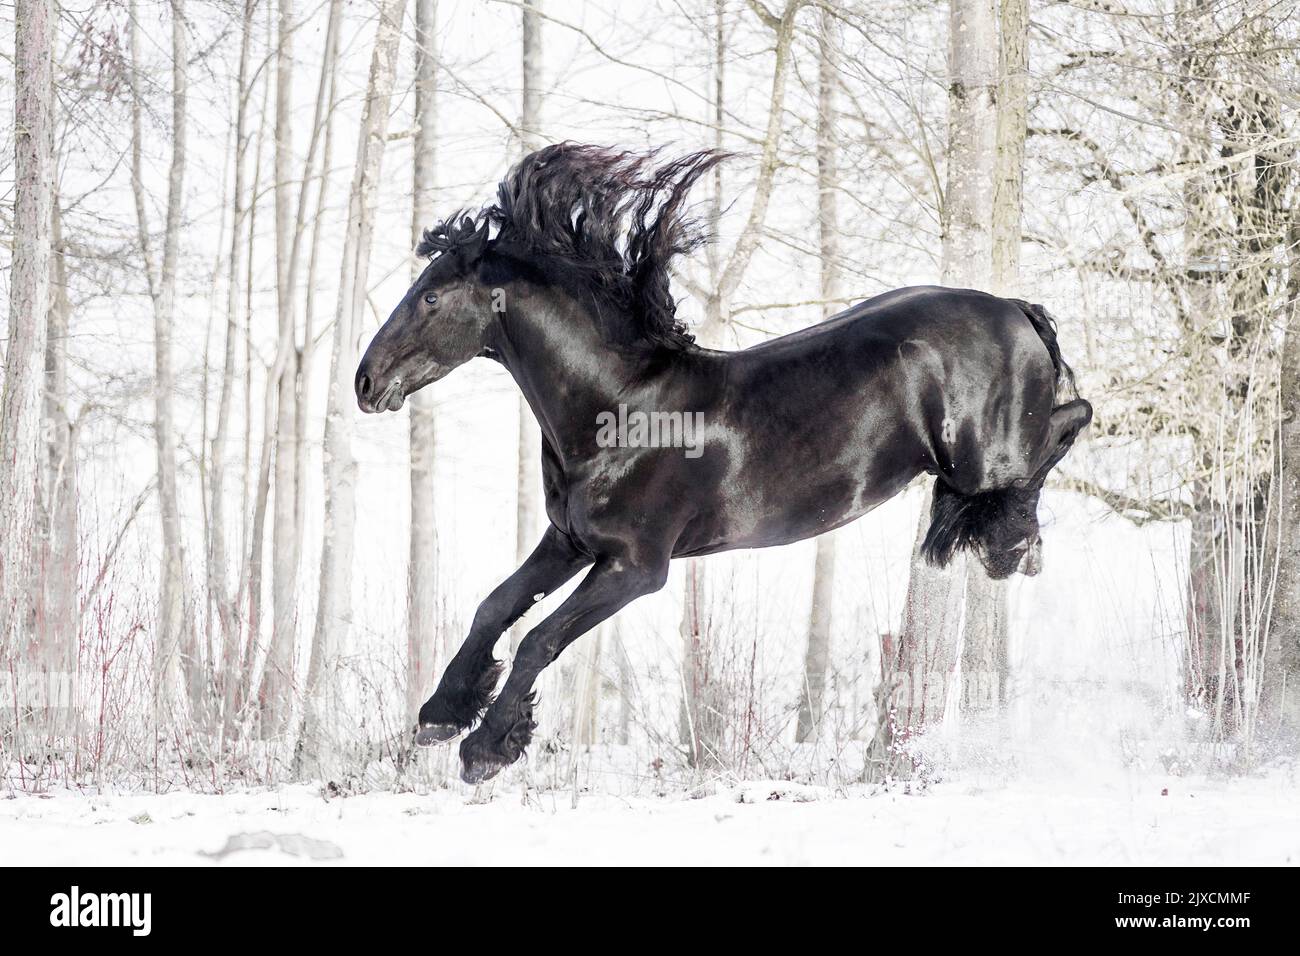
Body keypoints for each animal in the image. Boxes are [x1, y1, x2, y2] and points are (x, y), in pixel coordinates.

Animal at [353, 143, 1086, 785]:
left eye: (430, 297)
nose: (365, 382)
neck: (621, 409)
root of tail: (1015, 309)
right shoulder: (569, 541)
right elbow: (496, 606)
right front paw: (441, 713)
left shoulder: (635, 568)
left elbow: (539, 638)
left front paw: (486, 749)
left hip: (985, 457)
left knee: (1065, 426)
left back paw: (1008, 542)